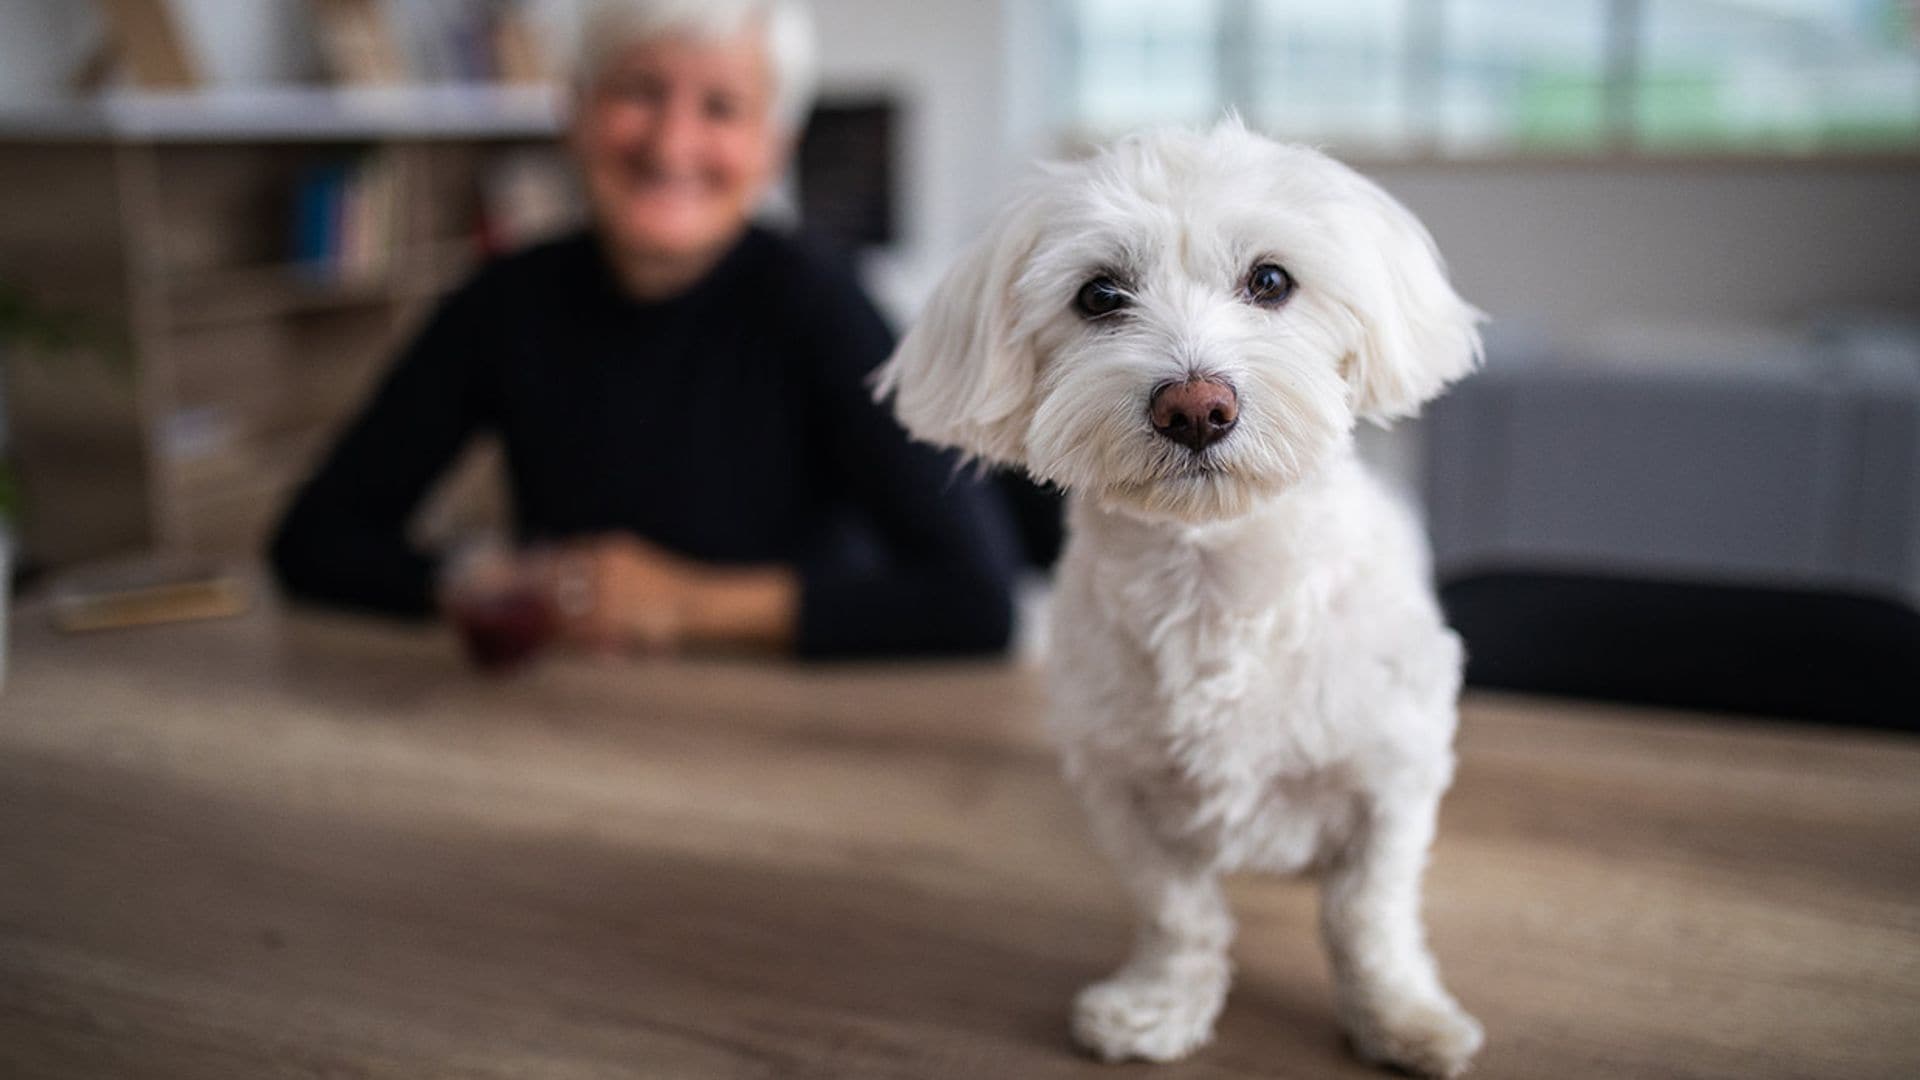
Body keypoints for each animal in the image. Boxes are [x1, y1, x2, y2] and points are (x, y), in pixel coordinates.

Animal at [875, 113, 1482, 1068]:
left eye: (1270, 280)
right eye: (1099, 296)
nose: (1195, 406)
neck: (1214, 581)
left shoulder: (1391, 777)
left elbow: (1368, 916)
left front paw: (1400, 1017)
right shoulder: (1125, 790)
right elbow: (1178, 913)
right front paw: (1160, 1004)